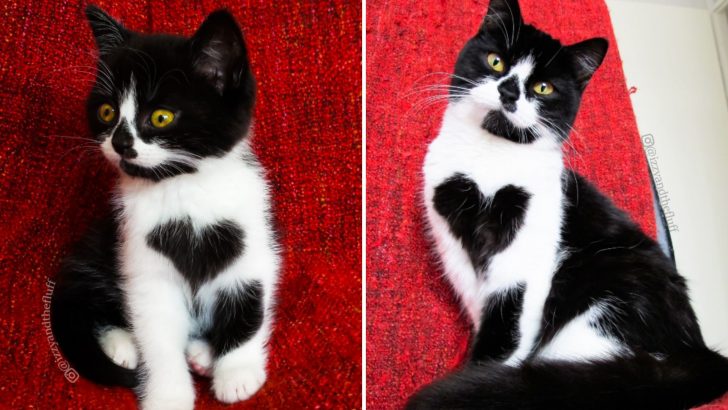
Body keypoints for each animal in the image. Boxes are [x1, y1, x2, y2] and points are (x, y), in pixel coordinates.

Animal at [50, 6, 278, 410]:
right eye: (107, 112)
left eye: (160, 117)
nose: (121, 142)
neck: (183, 189)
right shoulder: (141, 259)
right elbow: (156, 335)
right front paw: (168, 393)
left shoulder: (252, 240)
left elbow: (250, 303)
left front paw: (237, 374)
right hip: (98, 247)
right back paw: (123, 345)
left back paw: (203, 355)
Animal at [410, 1, 728, 408]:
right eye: (496, 61)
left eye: (542, 87)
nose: (509, 90)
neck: (489, 159)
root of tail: (697, 353)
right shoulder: (455, 248)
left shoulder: (524, 263)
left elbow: (508, 328)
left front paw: (480, 379)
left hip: (603, 309)